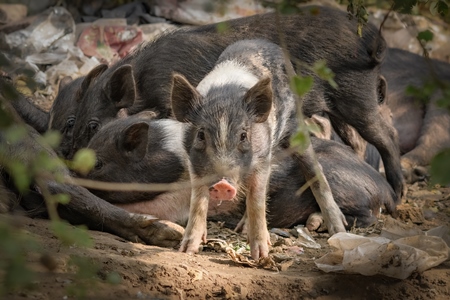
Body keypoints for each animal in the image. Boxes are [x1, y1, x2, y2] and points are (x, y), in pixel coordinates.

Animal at [67, 5, 404, 206]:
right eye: (74, 123)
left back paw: (399, 193)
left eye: (94, 125)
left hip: (357, 95)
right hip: (339, 107)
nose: (70, 167)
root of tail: (370, 39)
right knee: (358, 141)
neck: (145, 85)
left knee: (388, 135)